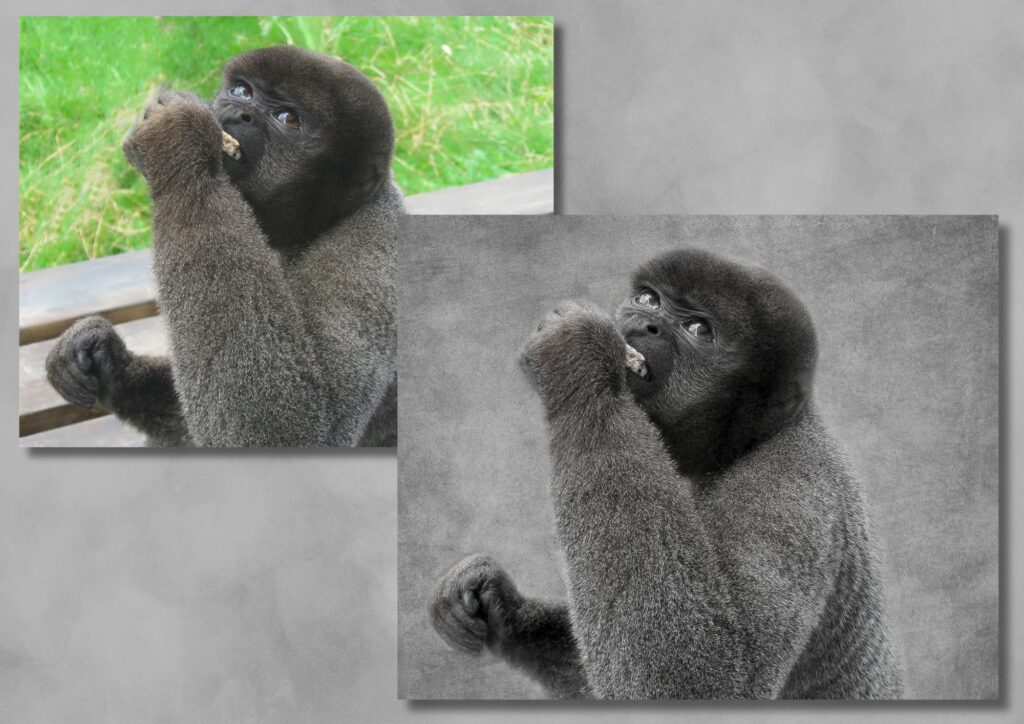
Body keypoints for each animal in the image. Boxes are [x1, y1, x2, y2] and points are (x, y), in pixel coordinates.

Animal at [45, 46, 401, 447]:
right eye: (243, 91)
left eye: (288, 119)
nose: (239, 111)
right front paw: (107, 363)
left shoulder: (369, 256)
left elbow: (290, 430)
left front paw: (176, 140)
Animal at [430, 249, 905, 699]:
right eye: (647, 299)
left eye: (699, 330)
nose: (647, 322)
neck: (742, 445)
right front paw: (502, 608)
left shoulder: (788, 492)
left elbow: (703, 679)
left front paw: (575, 352)